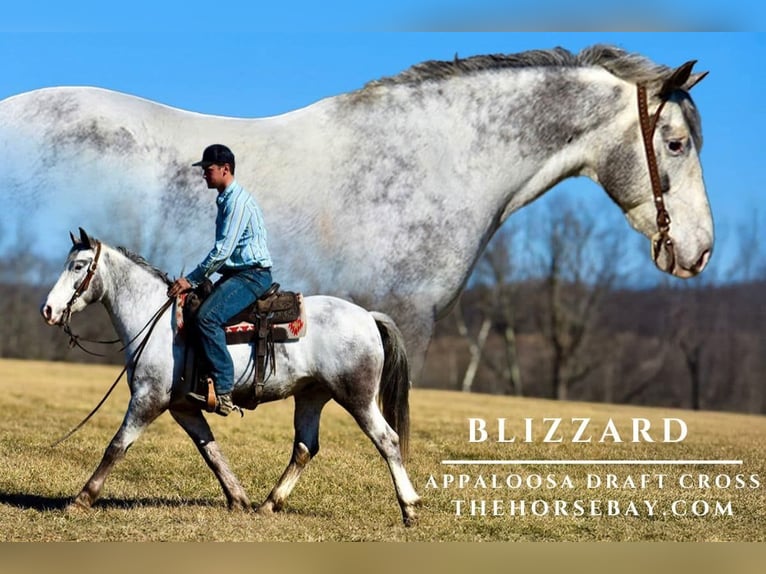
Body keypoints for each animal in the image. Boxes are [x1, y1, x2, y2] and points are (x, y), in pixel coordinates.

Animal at [40, 229, 421, 526]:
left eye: (78, 266)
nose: (48, 310)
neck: (156, 321)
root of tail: (368, 316)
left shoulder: (148, 398)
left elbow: (117, 446)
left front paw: (81, 499)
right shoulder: (183, 407)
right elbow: (211, 451)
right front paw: (238, 499)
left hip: (357, 397)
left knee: (387, 439)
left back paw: (410, 508)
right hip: (311, 396)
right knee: (304, 448)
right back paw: (269, 504)